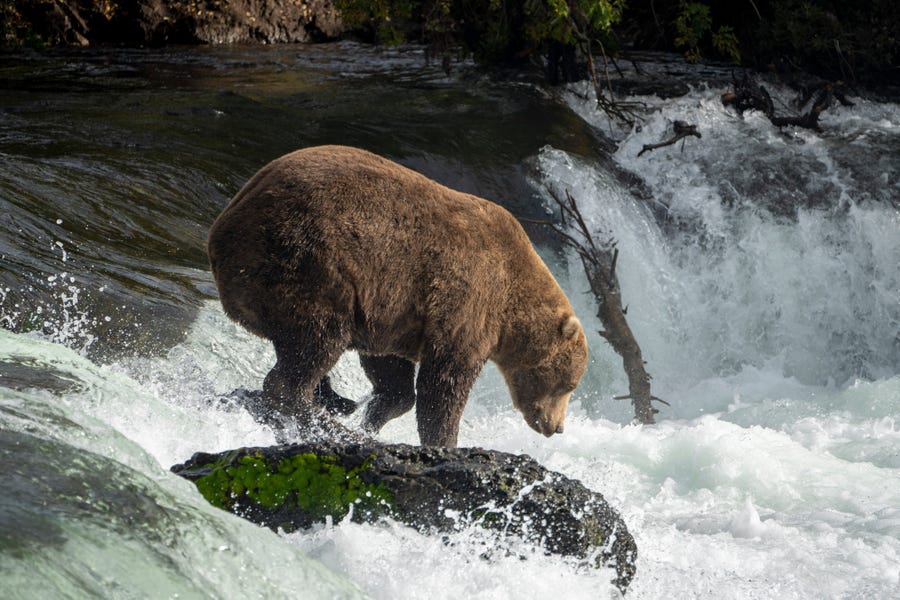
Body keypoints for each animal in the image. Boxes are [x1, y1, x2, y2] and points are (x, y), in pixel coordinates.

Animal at [211, 144, 592, 446]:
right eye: (568, 384)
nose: (557, 427)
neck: (511, 310)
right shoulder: (469, 301)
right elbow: (444, 385)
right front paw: (444, 441)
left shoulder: (392, 311)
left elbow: (390, 369)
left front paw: (375, 416)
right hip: (309, 260)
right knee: (317, 342)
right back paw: (316, 413)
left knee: (299, 347)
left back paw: (331, 401)